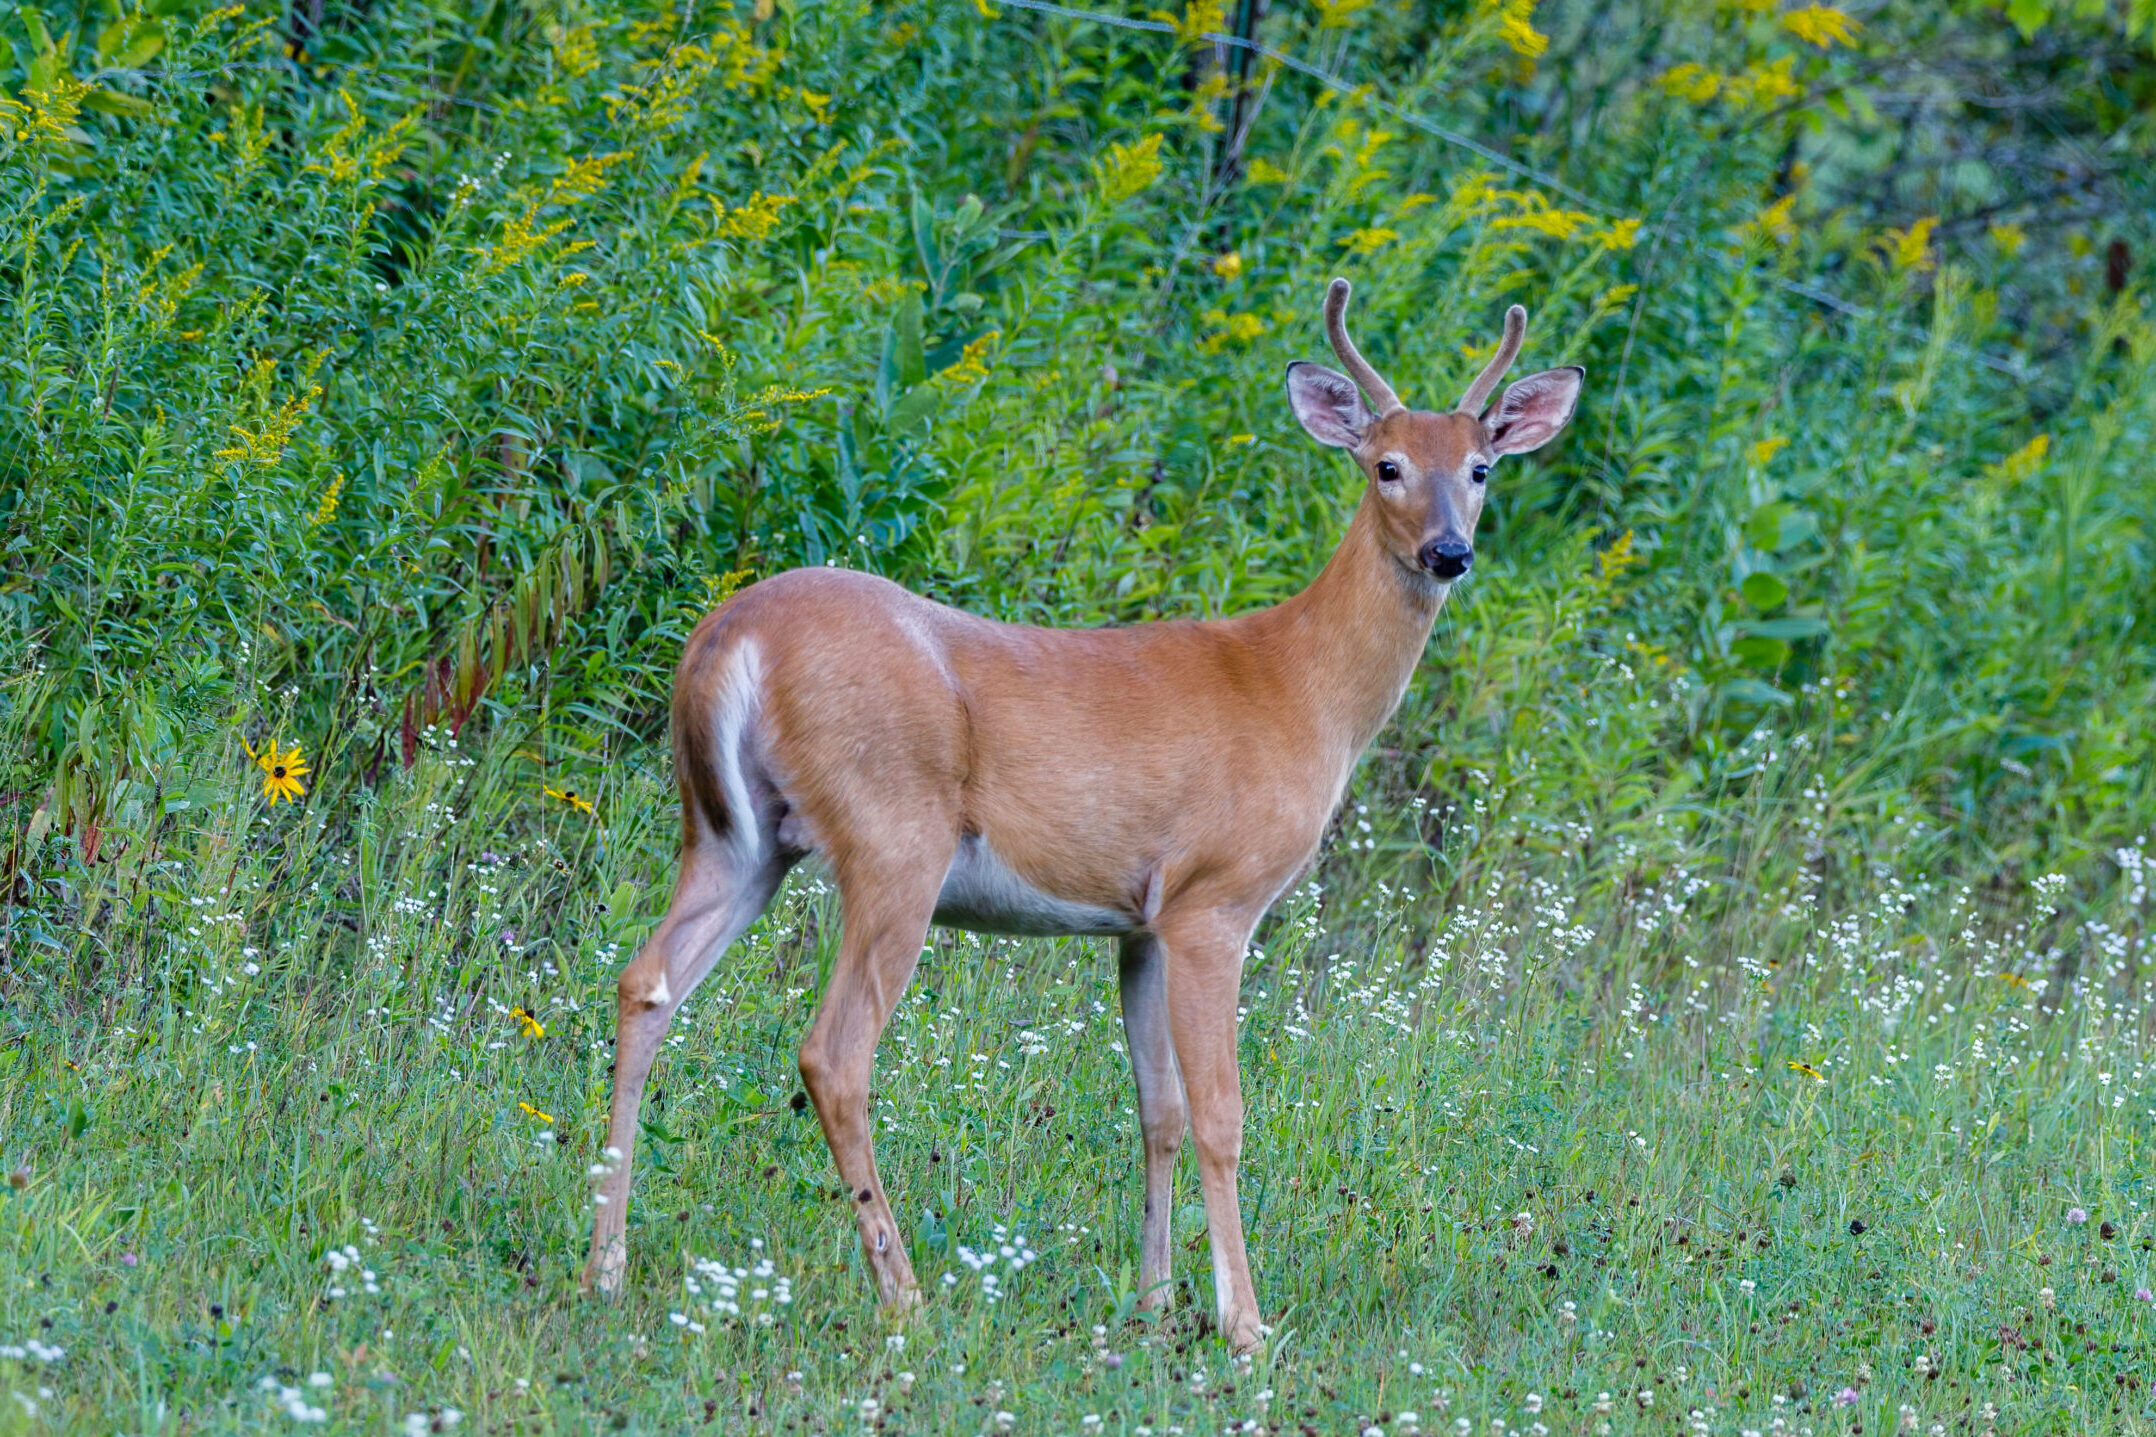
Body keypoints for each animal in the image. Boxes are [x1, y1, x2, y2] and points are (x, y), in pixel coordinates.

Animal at [577, 277, 1586, 1352]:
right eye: (1386, 465)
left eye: (1480, 468)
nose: (1449, 551)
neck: (1302, 688)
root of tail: (731, 636)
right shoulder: (1212, 900)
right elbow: (1222, 1114)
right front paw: (1244, 1324)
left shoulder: (1139, 923)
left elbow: (1159, 1111)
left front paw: (1152, 1301)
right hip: (893, 834)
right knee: (833, 1051)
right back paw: (906, 1293)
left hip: (735, 836)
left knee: (646, 983)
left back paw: (606, 1266)